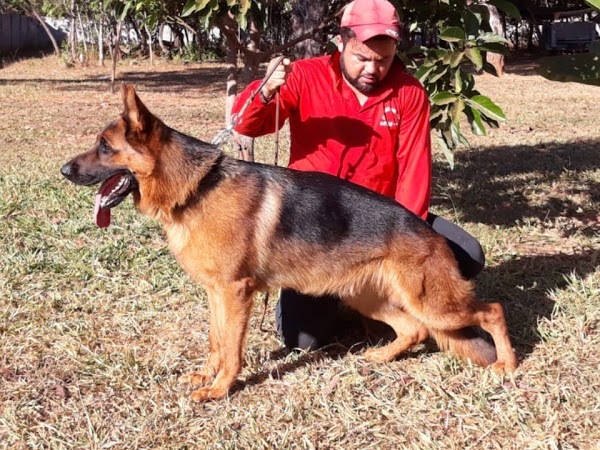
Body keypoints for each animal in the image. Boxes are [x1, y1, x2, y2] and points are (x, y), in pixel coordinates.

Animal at [62, 84, 520, 400]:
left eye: (104, 147)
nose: (64, 171)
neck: (197, 188)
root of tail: (428, 232)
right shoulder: (216, 293)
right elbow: (216, 340)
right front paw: (208, 375)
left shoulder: (236, 293)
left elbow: (232, 349)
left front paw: (221, 389)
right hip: (368, 297)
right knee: (415, 330)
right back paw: (380, 356)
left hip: (434, 303)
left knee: (492, 311)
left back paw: (508, 365)